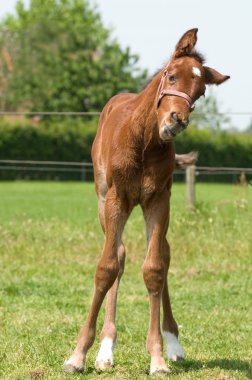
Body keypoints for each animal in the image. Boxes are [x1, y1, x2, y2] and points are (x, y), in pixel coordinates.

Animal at [64, 29, 229, 374]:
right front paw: (78, 355)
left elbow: (154, 268)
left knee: (163, 255)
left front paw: (158, 357)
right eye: (171, 75)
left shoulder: (158, 199)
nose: (175, 121)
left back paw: (173, 344)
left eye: (200, 91)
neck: (143, 140)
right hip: (104, 200)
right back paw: (105, 350)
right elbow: (106, 267)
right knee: (119, 254)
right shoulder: (117, 199)